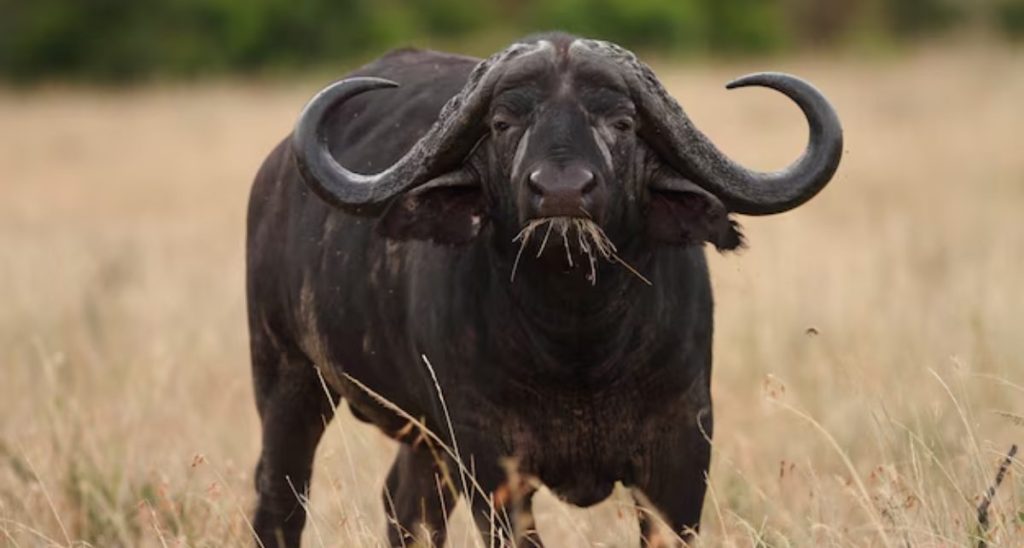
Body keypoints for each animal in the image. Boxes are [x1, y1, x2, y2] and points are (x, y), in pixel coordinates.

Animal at [246, 32, 842, 547]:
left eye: (622, 121)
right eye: (503, 121)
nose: (561, 191)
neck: (578, 343)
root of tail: (274, 175)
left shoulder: (683, 449)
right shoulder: (487, 457)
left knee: (407, 506)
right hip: (286, 377)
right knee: (280, 497)